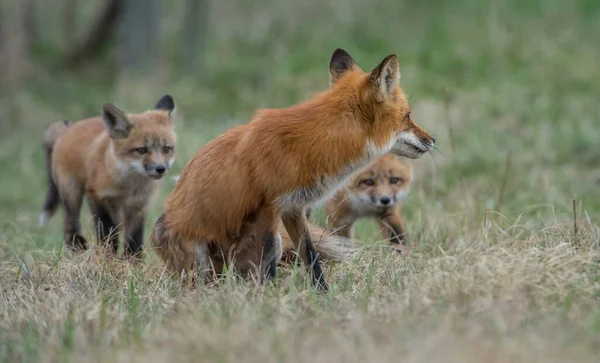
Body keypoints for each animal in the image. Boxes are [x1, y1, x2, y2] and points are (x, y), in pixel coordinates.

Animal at [39, 95, 176, 258]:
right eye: (141, 150)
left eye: (166, 149)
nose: (160, 168)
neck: (130, 186)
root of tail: (69, 128)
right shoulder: (97, 195)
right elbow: (107, 230)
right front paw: (108, 255)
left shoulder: (139, 205)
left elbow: (134, 238)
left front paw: (132, 260)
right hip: (72, 193)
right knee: (69, 225)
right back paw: (78, 247)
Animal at [149, 49, 432, 292]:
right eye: (408, 116)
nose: (432, 140)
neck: (310, 145)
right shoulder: (268, 209)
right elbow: (269, 263)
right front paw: (268, 299)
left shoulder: (294, 208)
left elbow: (311, 258)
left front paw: (323, 296)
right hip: (200, 261)